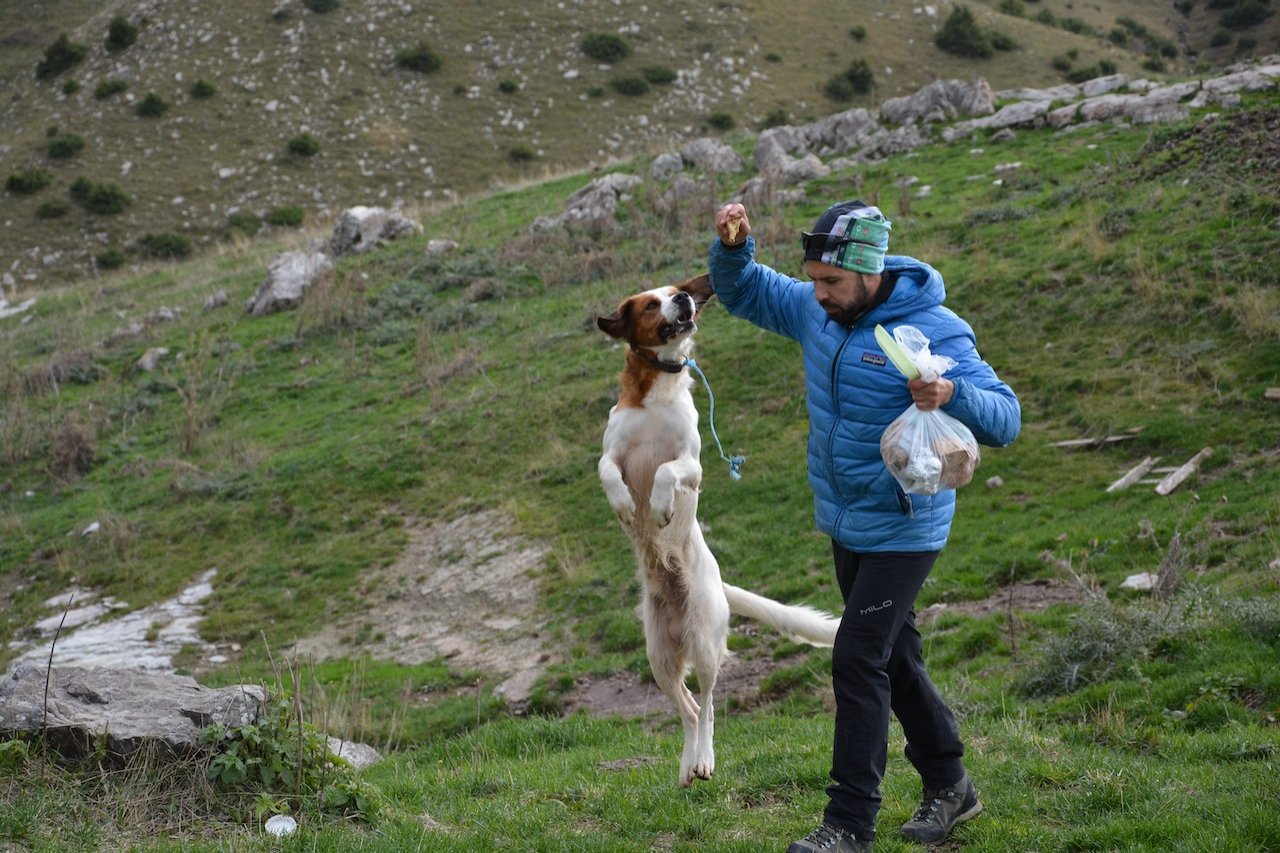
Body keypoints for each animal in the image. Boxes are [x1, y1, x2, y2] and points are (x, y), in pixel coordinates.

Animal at [596, 270, 844, 783]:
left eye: (675, 292)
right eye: (651, 304)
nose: (684, 298)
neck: (657, 393)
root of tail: (719, 585)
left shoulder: (692, 465)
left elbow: (666, 472)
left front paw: (659, 509)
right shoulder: (611, 453)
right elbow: (609, 471)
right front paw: (626, 504)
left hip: (705, 643)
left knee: (708, 704)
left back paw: (705, 759)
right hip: (660, 658)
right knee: (689, 709)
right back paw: (688, 765)